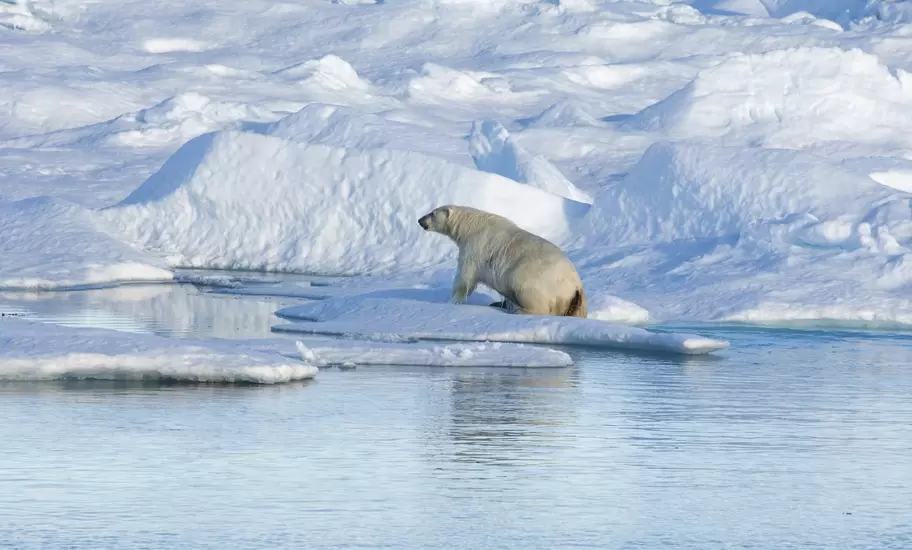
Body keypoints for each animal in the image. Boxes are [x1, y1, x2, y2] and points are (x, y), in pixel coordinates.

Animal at [418, 205, 587, 318]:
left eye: (432, 213)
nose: (420, 220)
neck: (471, 225)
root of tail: (576, 286)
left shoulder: (476, 246)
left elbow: (465, 276)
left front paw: (453, 301)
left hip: (535, 278)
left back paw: (519, 310)